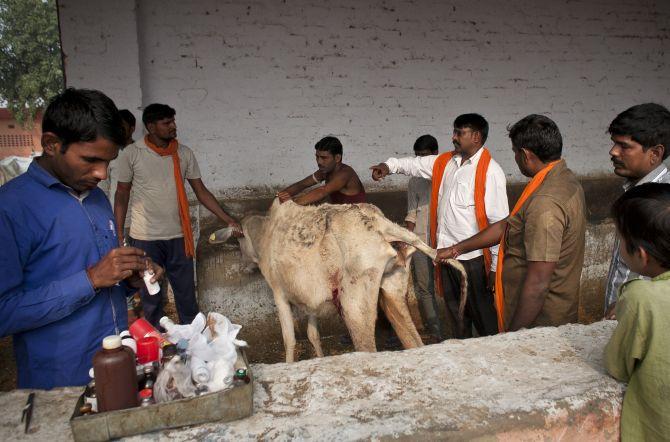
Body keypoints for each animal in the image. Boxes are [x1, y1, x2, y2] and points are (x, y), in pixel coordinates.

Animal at [239, 200, 470, 362]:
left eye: (239, 239)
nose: (244, 267)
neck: (266, 233)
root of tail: (380, 223)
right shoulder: (312, 301)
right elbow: (313, 334)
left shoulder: (279, 293)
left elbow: (290, 339)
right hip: (393, 289)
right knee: (413, 341)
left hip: (355, 305)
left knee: (367, 347)